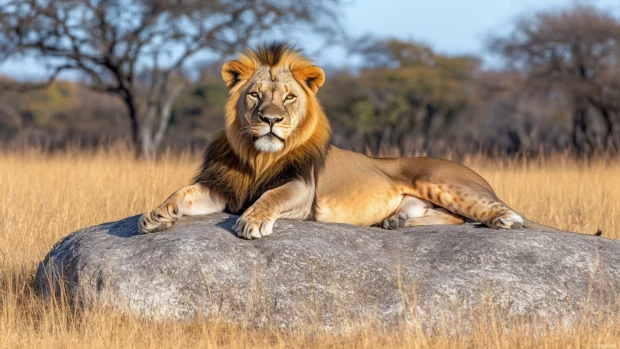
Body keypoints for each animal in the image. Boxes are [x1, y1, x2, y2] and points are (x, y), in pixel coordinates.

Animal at [139, 42, 560, 238]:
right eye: (255, 95)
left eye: (288, 98)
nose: (271, 120)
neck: (259, 156)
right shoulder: (223, 187)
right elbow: (183, 192)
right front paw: (155, 215)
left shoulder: (301, 190)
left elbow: (270, 197)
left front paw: (253, 222)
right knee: (451, 218)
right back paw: (394, 222)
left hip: (441, 180)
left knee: (491, 211)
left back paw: (503, 220)